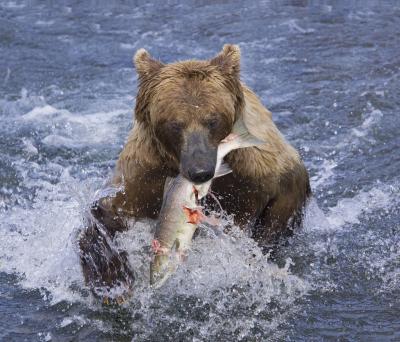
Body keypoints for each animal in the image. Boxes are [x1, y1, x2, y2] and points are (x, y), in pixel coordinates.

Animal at [77, 43, 310, 300]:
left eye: (212, 119)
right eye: (175, 124)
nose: (200, 171)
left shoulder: (259, 171)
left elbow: (283, 199)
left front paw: (259, 248)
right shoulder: (143, 176)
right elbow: (104, 212)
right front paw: (113, 282)